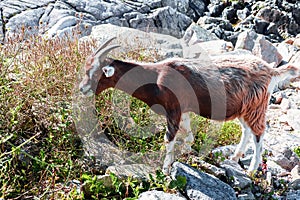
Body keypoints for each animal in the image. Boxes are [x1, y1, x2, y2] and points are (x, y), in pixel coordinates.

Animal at [79, 36, 300, 174]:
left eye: (96, 73)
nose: (82, 89)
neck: (156, 77)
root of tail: (271, 70)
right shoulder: (183, 110)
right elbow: (188, 134)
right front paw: (185, 152)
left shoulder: (173, 109)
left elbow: (169, 138)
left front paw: (165, 169)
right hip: (244, 107)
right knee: (247, 130)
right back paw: (235, 157)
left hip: (256, 105)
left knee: (259, 133)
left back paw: (252, 169)